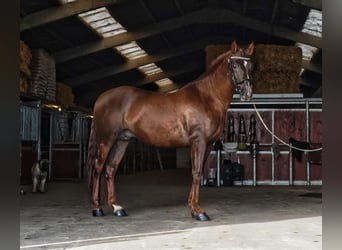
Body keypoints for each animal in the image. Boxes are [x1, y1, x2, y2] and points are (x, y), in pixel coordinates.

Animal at [87, 40, 255, 221]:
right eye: (235, 65)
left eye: (251, 65)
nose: (247, 93)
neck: (206, 98)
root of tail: (102, 98)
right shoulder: (198, 141)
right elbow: (196, 173)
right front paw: (198, 211)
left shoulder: (208, 144)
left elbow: (199, 172)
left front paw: (192, 208)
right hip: (106, 140)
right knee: (98, 168)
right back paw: (97, 208)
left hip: (122, 140)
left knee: (110, 169)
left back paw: (117, 207)